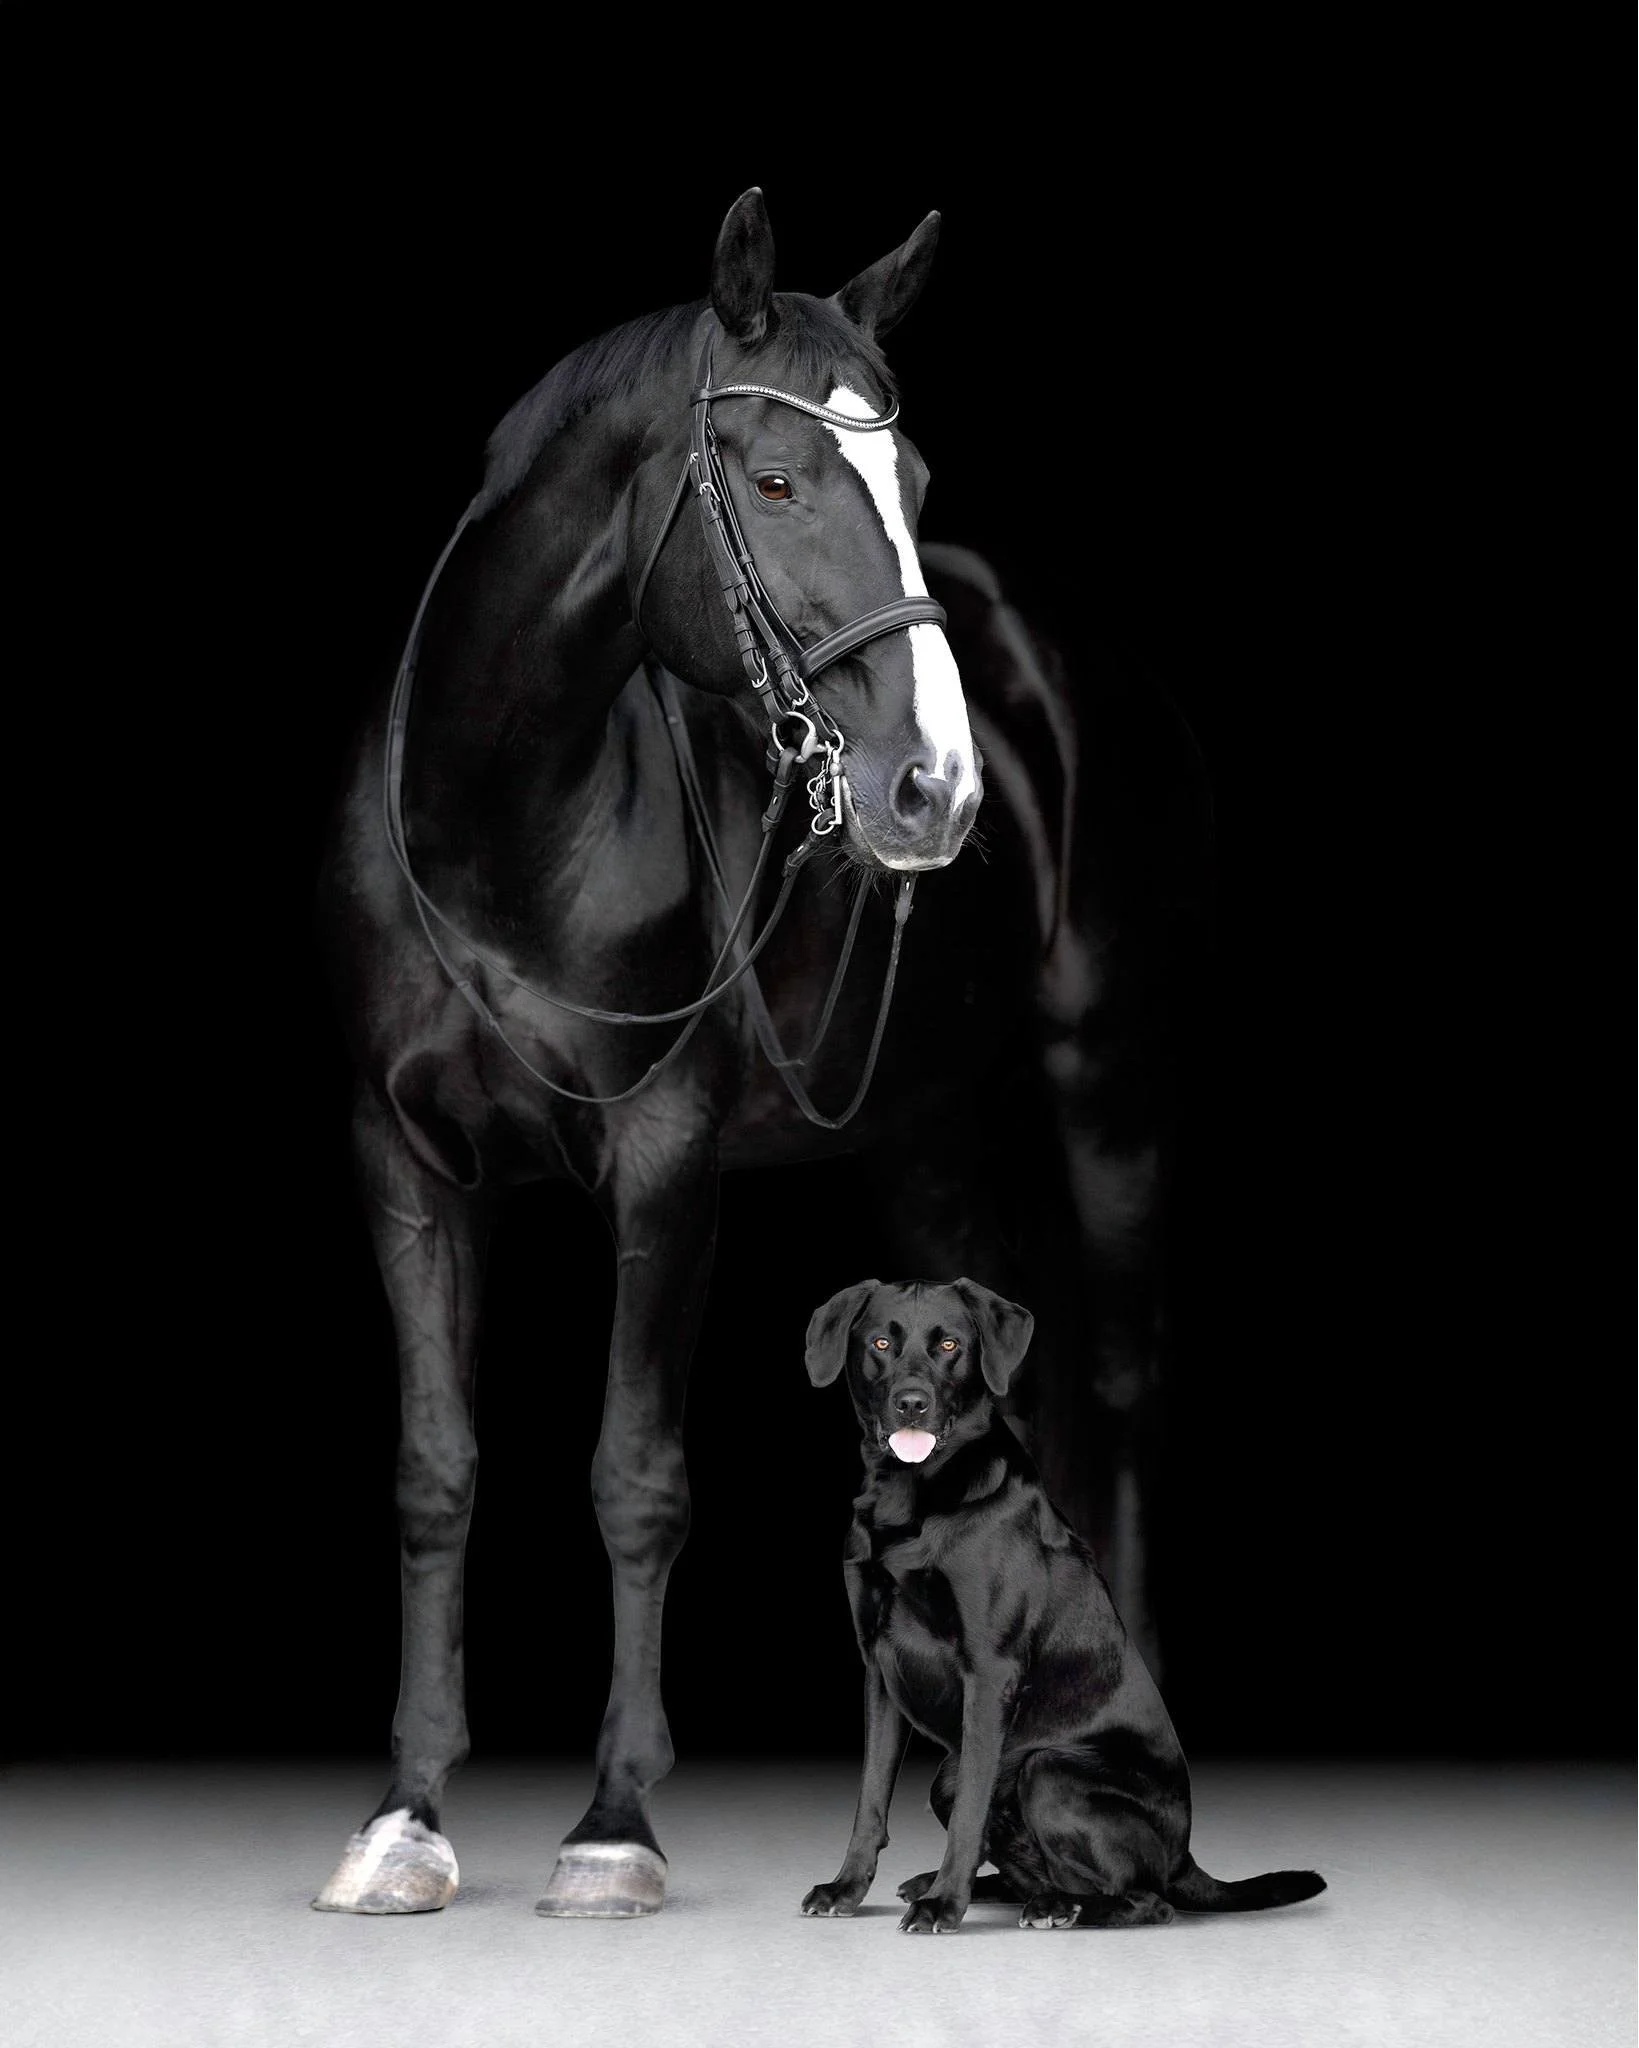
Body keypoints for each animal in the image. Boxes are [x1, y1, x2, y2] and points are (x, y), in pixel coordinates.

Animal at [312, 189, 1205, 1918]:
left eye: (912, 486)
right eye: (779, 479)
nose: (937, 788)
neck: (501, 827)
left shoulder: (665, 1165)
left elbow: (634, 1477)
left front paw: (611, 1829)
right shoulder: (404, 1165)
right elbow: (435, 1473)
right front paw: (404, 1819)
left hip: (1108, 1084)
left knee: (1126, 1384)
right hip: (924, 1134)